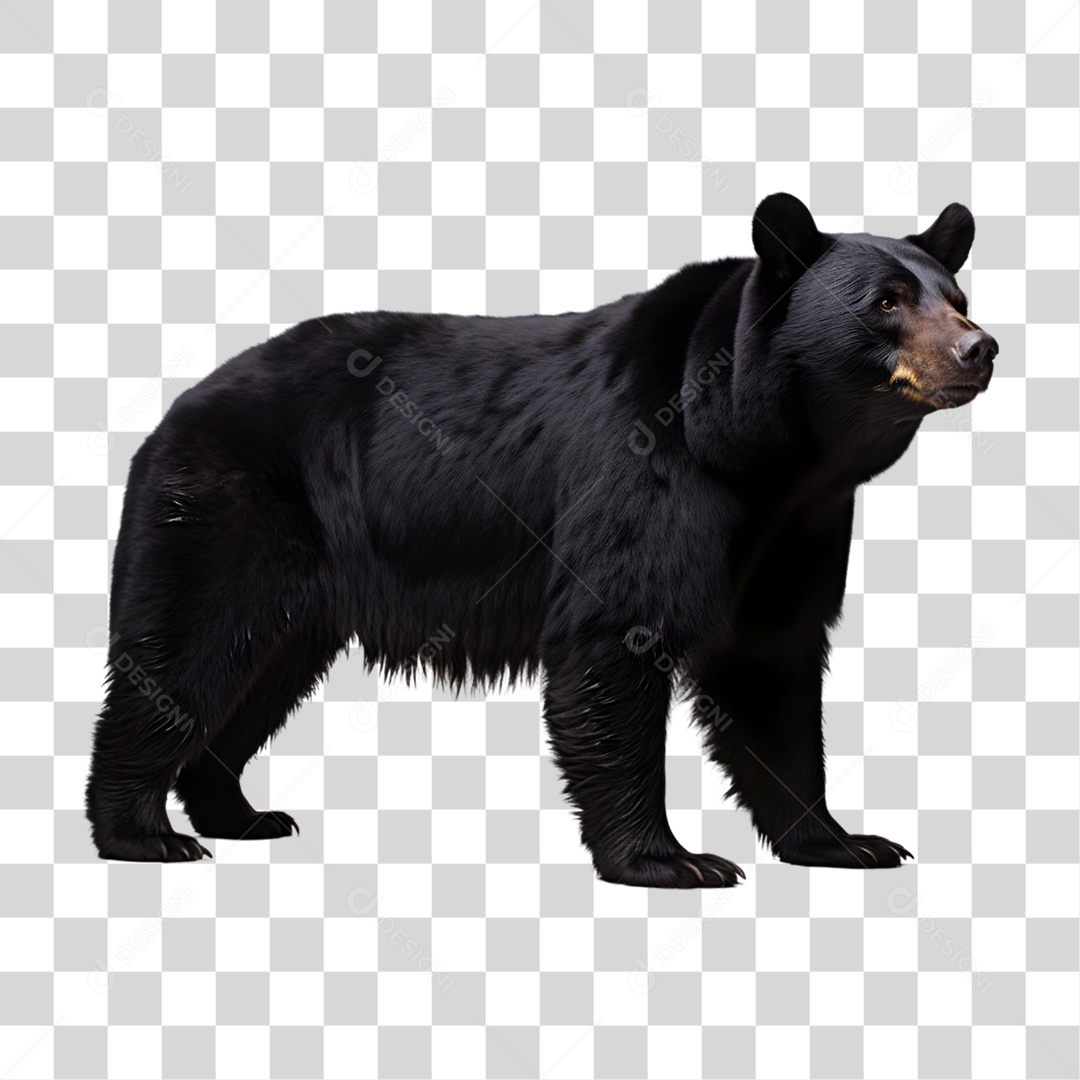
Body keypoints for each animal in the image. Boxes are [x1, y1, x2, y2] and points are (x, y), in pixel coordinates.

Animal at [86, 192, 997, 884]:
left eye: (954, 296)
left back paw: (239, 814)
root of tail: (175, 411)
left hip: (298, 586)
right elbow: (615, 639)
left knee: (256, 676)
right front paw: (670, 860)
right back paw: (142, 833)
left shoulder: (791, 529)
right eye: (886, 300)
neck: (760, 452)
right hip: (228, 510)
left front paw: (845, 841)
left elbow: (772, 672)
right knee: (188, 651)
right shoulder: (646, 473)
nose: (979, 347)